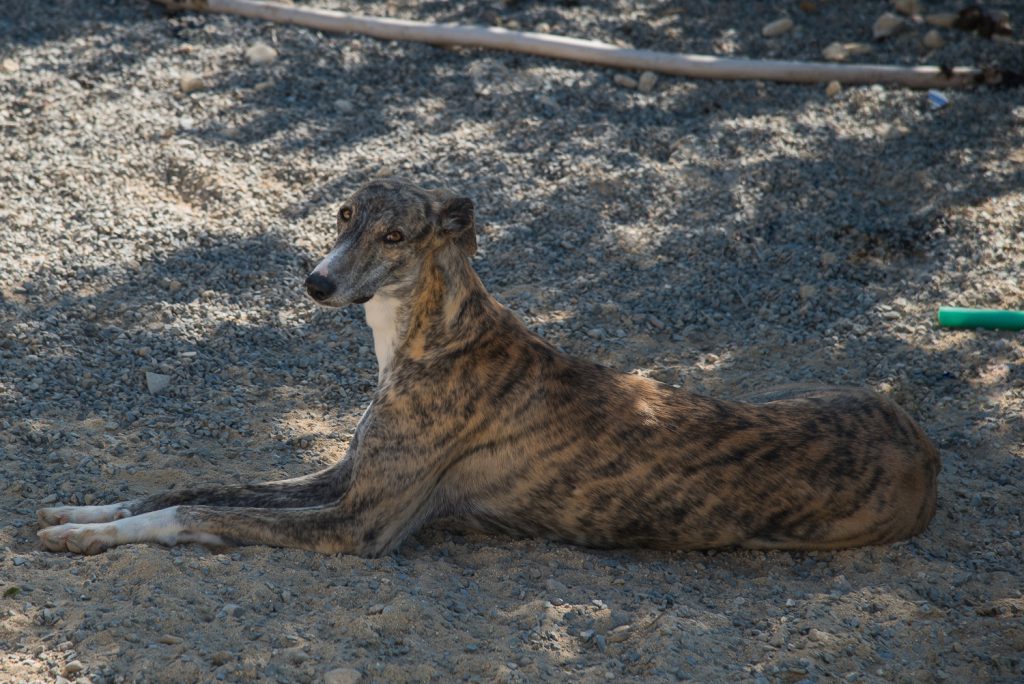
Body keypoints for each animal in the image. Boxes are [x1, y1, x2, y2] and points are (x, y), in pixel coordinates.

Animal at [37, 178, 937, 557]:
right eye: (342, 214)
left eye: (395, 235)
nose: (315, 283)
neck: (437, 339)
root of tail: (925, 448)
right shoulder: (342, 477)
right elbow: (186, 485)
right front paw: (86, 510)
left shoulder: (360, 523)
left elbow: (197, 513)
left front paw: (99, 538)